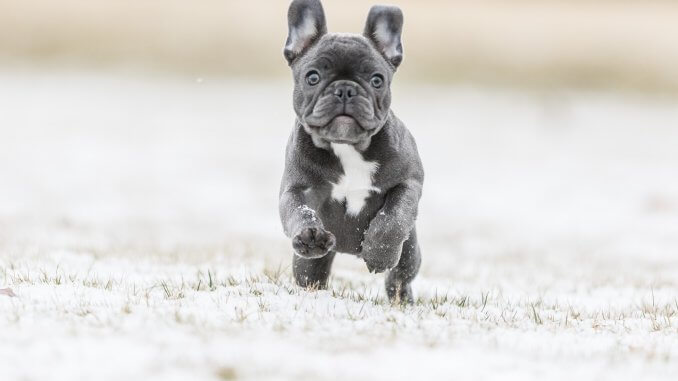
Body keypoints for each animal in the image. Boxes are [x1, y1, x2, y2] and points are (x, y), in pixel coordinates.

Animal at [278, 0, 422, 302]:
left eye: (377, 80)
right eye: (313, 77)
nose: (345, 89)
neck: (347, 147)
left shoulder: (409, 182)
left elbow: (393, 218)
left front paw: (379, 253)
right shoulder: (296, 189)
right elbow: (298, 211)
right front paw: (310, 235)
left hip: (410, 252)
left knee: (400, 276)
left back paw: (402, 299)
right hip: (308, 265)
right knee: (310, 274)